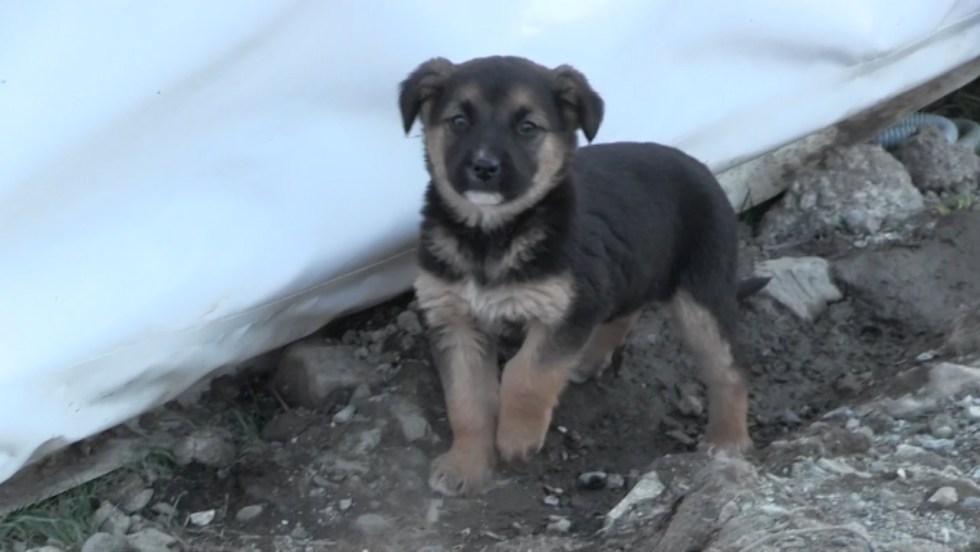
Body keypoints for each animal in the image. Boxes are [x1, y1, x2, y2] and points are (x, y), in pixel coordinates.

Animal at [398, 55, 769, 497]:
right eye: (458, 121)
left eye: (528, 127)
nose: (483, 167)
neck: (490, 236)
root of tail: (704, 169)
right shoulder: (454, 321)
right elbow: (466, 400)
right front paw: (466, 465)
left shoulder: (570, 308)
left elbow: (525, 373)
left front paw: (516, 437)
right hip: (629, 272)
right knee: (625, 314)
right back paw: (587, 359)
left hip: (701, 298)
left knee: (730, 368)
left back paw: (727, 443)